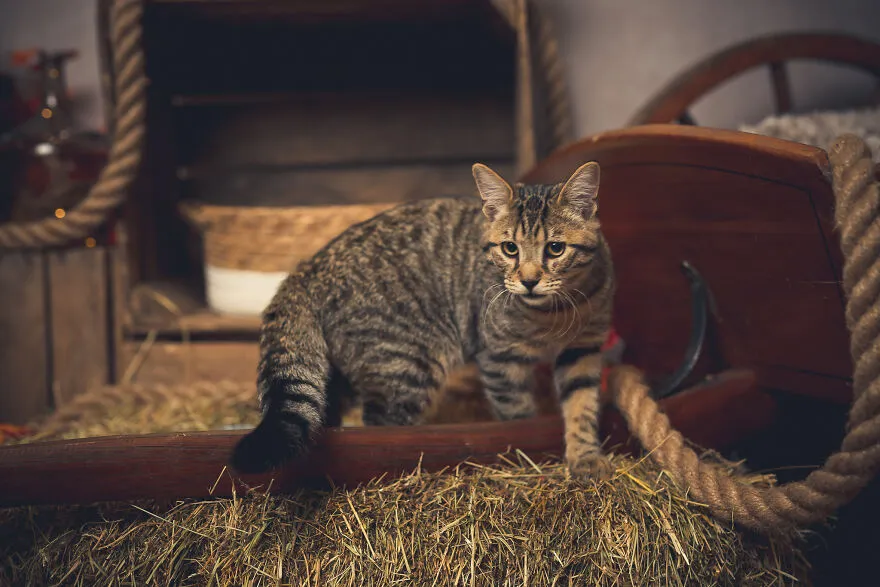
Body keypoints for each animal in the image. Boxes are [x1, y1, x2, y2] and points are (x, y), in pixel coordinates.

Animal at [230, 161, 616, 478]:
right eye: (510, 249)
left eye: (555, 248)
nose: (530, 280)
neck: (553, 315)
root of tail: (307, 266)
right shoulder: (499, 358)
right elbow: (518, 414)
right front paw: (527, 447)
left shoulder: (583, 350)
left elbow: (582, 405)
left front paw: (585, 456)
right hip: (405, 366)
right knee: (378, 426)